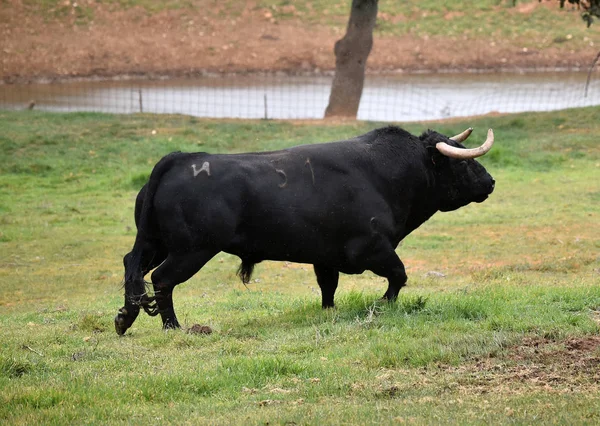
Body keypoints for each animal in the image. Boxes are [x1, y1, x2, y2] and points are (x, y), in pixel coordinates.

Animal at [115, 125, 494, 334]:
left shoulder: (325, 256)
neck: (387, 173)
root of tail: (181, 158)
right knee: (162, 279)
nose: (490, 181)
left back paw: (124, 318)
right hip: (191, 250)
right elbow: (399, 276)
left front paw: (330, 314)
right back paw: (174, 327)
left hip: (155, 243)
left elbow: (328, 289)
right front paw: (382, 305)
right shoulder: (371, 247)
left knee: (132, 266)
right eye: (465, 163)